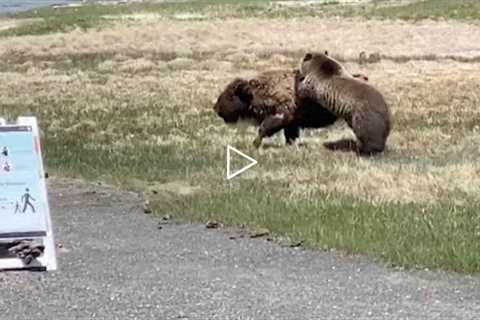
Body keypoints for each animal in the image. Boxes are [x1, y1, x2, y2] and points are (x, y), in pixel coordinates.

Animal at [213, 68, 368, 148]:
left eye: (231, 96)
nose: (216, 108)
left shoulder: (281, 117)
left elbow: (263, 129)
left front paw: (255, 144)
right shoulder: (291, 124)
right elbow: (289, 136)